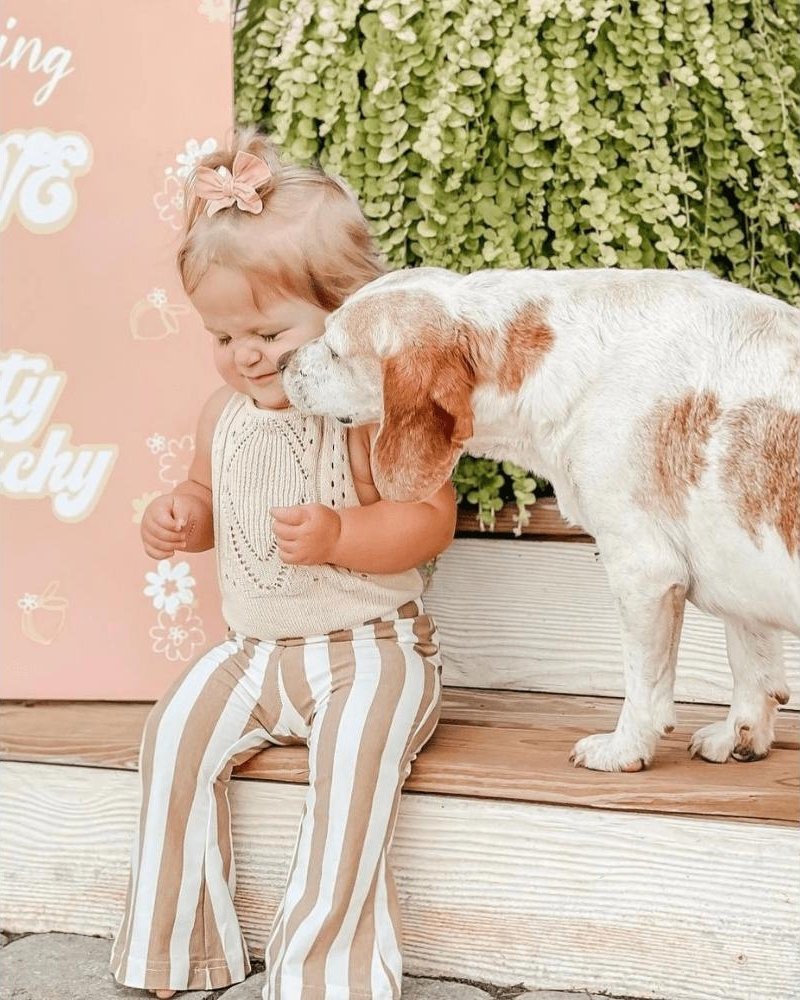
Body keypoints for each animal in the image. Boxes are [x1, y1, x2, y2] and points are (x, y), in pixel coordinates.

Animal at [280, 268, 800, 772]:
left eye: (334, 348)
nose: (282, 360)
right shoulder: (738, 565)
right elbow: (751, 666)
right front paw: (741, 737)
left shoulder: (645, 574)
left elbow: (644, 686)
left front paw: (624, 750)